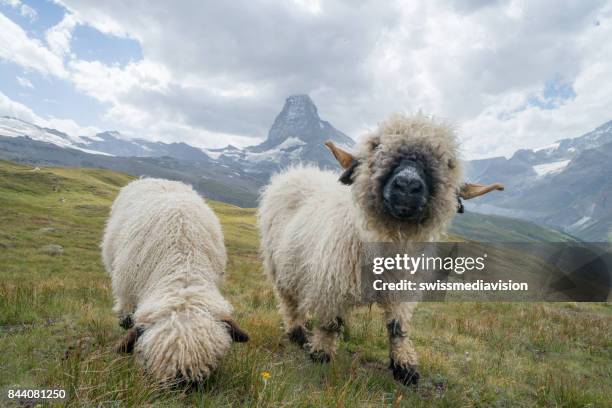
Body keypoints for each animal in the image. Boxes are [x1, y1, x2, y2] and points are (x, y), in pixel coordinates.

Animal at [258, 112, 502, 386]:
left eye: (448, 163)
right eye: (376, 146)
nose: (407, 185)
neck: (385, 238)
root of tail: (296, 171)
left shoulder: (400, 289)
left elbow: (397, 328)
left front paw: (405, 367)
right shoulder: (332, 284)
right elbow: (330, 324)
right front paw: (321, 355)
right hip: (279, 266)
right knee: (288, 302)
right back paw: (297, 333)